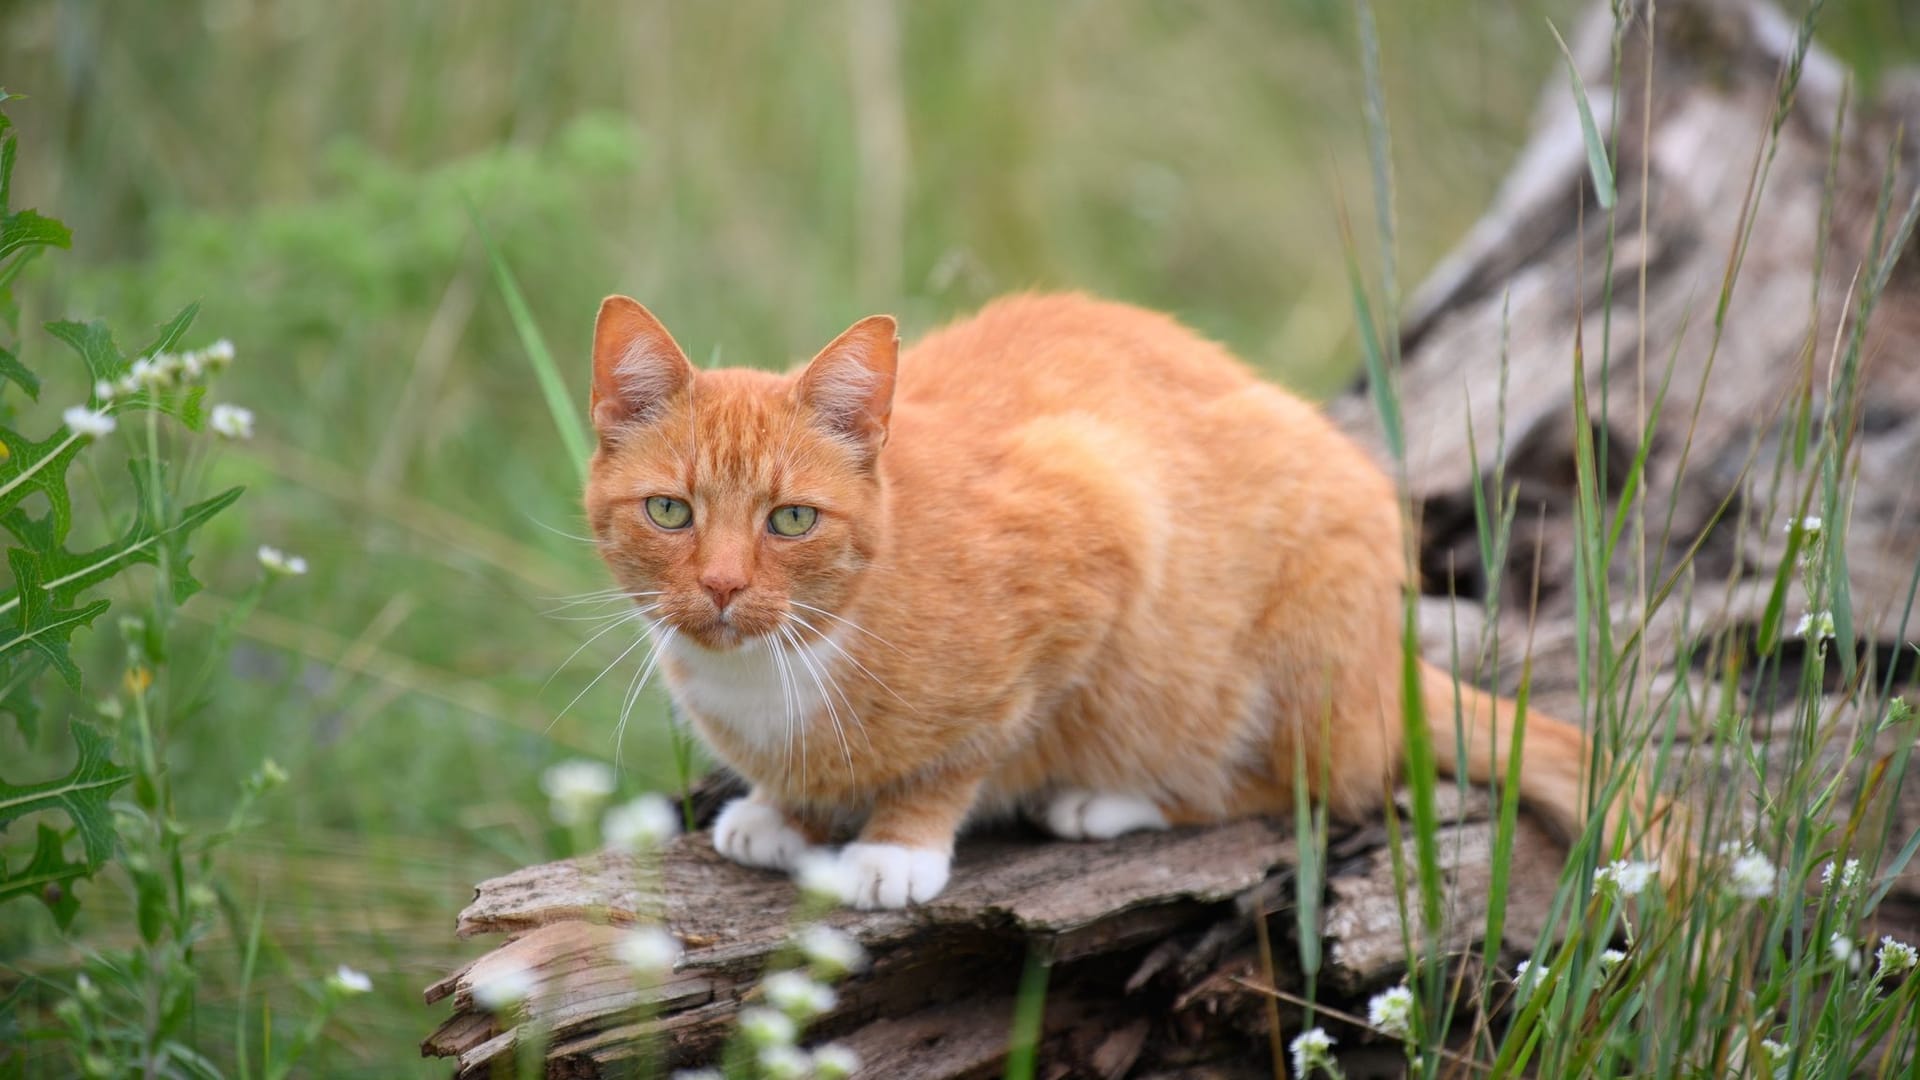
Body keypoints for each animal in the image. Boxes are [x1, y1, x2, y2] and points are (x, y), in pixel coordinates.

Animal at [587, 290, 1620, 903]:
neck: (782, 664)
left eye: (792, 520)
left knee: (1313, 784)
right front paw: (786, 810)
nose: (722, 586)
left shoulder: (1100, 520)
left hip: (1296, 648)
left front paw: (898, 844)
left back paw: (1115, 800)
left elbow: (970, 749)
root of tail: (1386, 663)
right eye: (671, 511)